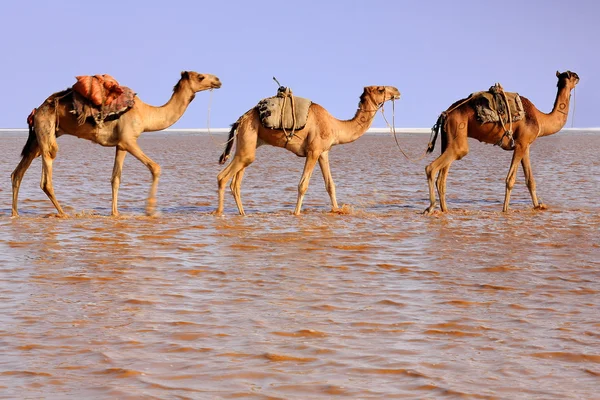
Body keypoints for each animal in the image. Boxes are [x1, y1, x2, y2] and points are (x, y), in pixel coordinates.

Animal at [10, 70, 221, 217]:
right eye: (201, 76)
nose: (218, 80)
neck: (146, 114)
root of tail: (36, 110)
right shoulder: (129, 141)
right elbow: (155, 167)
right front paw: (150, 209)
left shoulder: (121, 145)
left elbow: (115, 179)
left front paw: (115, 213)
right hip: (47, 130)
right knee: (46, 176)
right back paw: (63, 214)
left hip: (39, 137)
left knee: (17, 173)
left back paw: (15, 214)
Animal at [218, 85, 400, 216]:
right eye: (380, 89)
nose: (397, 91)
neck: (335, 125)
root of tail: (241, 119)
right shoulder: (313, 151)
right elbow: (303, 184)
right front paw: (296, 213)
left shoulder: (323, 152)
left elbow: (330, 184)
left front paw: (337, 210)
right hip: (248, 139)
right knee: (222, 177)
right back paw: (219, 213)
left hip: (248, 143)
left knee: (236, 182)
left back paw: (242, 214)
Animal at [424, 72, 580, 216]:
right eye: (572, 76)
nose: (578, 77)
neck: (540, 119)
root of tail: (445, 114)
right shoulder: (520, 144)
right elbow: (510, 179)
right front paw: (505, 210)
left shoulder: (526, 146)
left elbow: (530, 179)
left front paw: (538, 206)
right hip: (458, 133)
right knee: (433, 167)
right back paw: (430, 207)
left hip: (448, 138)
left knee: (442, 178)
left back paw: (445, 210)